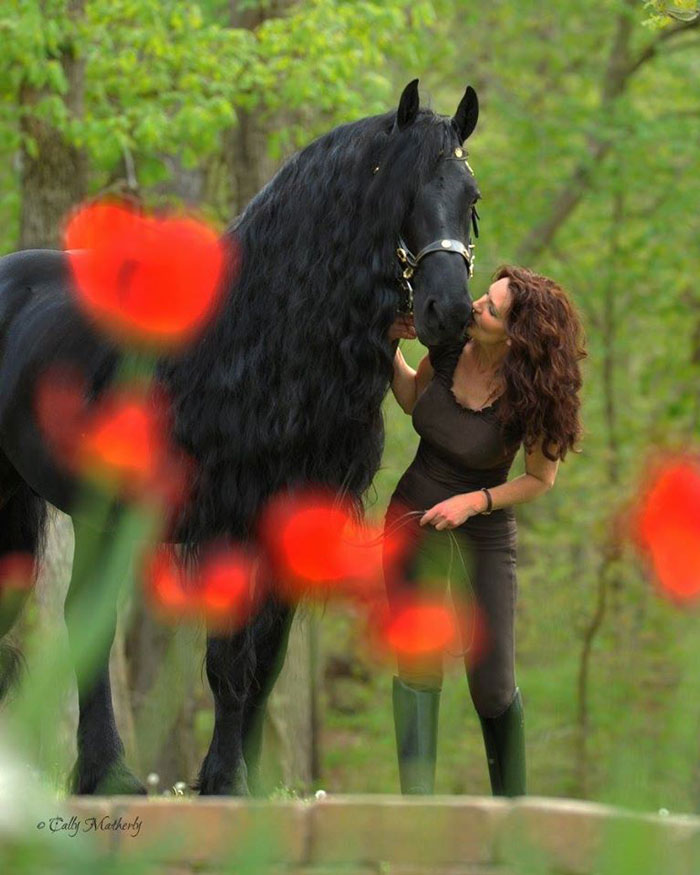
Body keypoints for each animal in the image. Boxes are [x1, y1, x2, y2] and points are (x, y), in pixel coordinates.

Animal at [0, 79, 481, 795]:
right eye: (403, 190)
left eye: (469, 197)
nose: (448, 312)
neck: (259, 336)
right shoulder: (226, 521)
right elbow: (227, 657)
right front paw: (226, 779)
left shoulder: (291, 522)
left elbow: (267, 656)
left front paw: (238, 781)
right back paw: (109, 773)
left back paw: (101, 771)